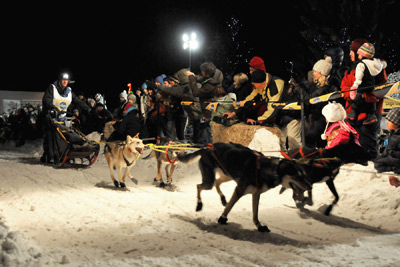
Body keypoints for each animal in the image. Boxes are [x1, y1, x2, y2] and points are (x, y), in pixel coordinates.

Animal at [177, 142, 310, 232]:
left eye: (304, 175)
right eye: (297, 176)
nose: (309, 186)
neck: (268, 170)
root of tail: (207, 148)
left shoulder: (256, 194)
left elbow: (255, 214)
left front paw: (259, 226)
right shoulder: (239, 190)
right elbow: (230, 207)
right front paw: (222, 218)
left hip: (227, 175)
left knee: (217, 183)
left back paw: (223, 198)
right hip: (209, 181)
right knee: (199, 186)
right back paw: (199, 204)